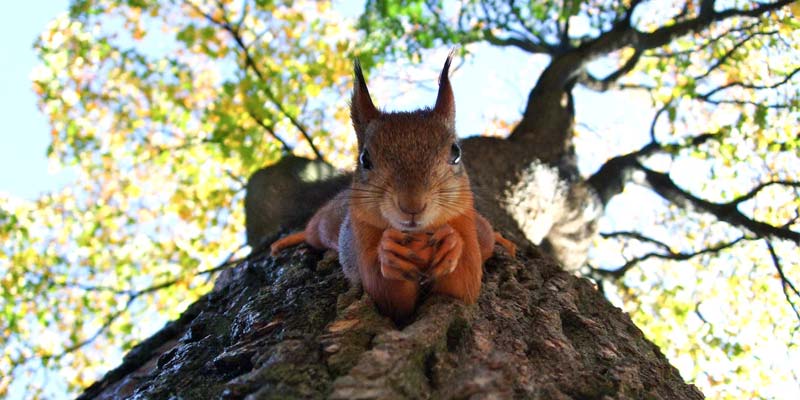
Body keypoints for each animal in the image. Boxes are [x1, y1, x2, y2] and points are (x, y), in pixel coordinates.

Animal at [268, 54, 516, 322]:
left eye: (456, 152)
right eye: (365, 159)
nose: (412, 205)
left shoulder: (465, 225)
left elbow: (463, 286)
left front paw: (452, 244)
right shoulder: (362, 237)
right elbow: (388, 297)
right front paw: (389, 252)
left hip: (481, 231)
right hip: (324, 225)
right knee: (311, 232)